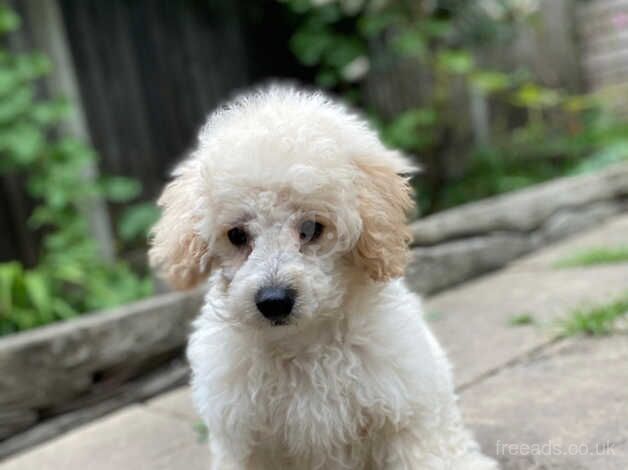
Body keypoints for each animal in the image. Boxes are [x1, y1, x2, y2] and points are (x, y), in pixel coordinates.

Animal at [150, 86, 498, 468]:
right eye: (237, 235)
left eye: (311, 229)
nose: (274, 301)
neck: (303, 343)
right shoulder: (246, 441)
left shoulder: (403, 416)